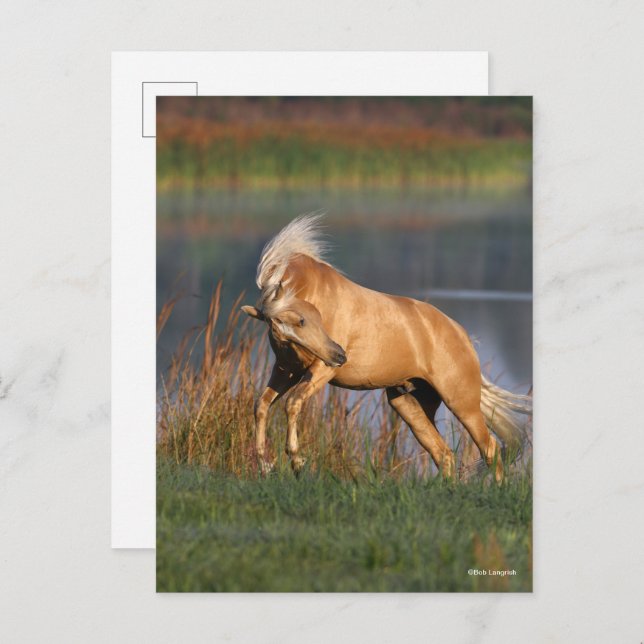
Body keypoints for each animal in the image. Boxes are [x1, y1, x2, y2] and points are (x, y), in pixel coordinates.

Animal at [241, 214, 532, 482]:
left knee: (489, 448)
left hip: (462, 403)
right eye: (276, 330)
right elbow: (262, 405)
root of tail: (463, 336)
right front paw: (266, 465)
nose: (339, 356)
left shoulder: (320, 370)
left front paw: (297, 461)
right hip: (408, 404)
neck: (316, 295)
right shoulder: (285, 370)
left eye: (303, 320)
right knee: (444, 454)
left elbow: (292, 403)